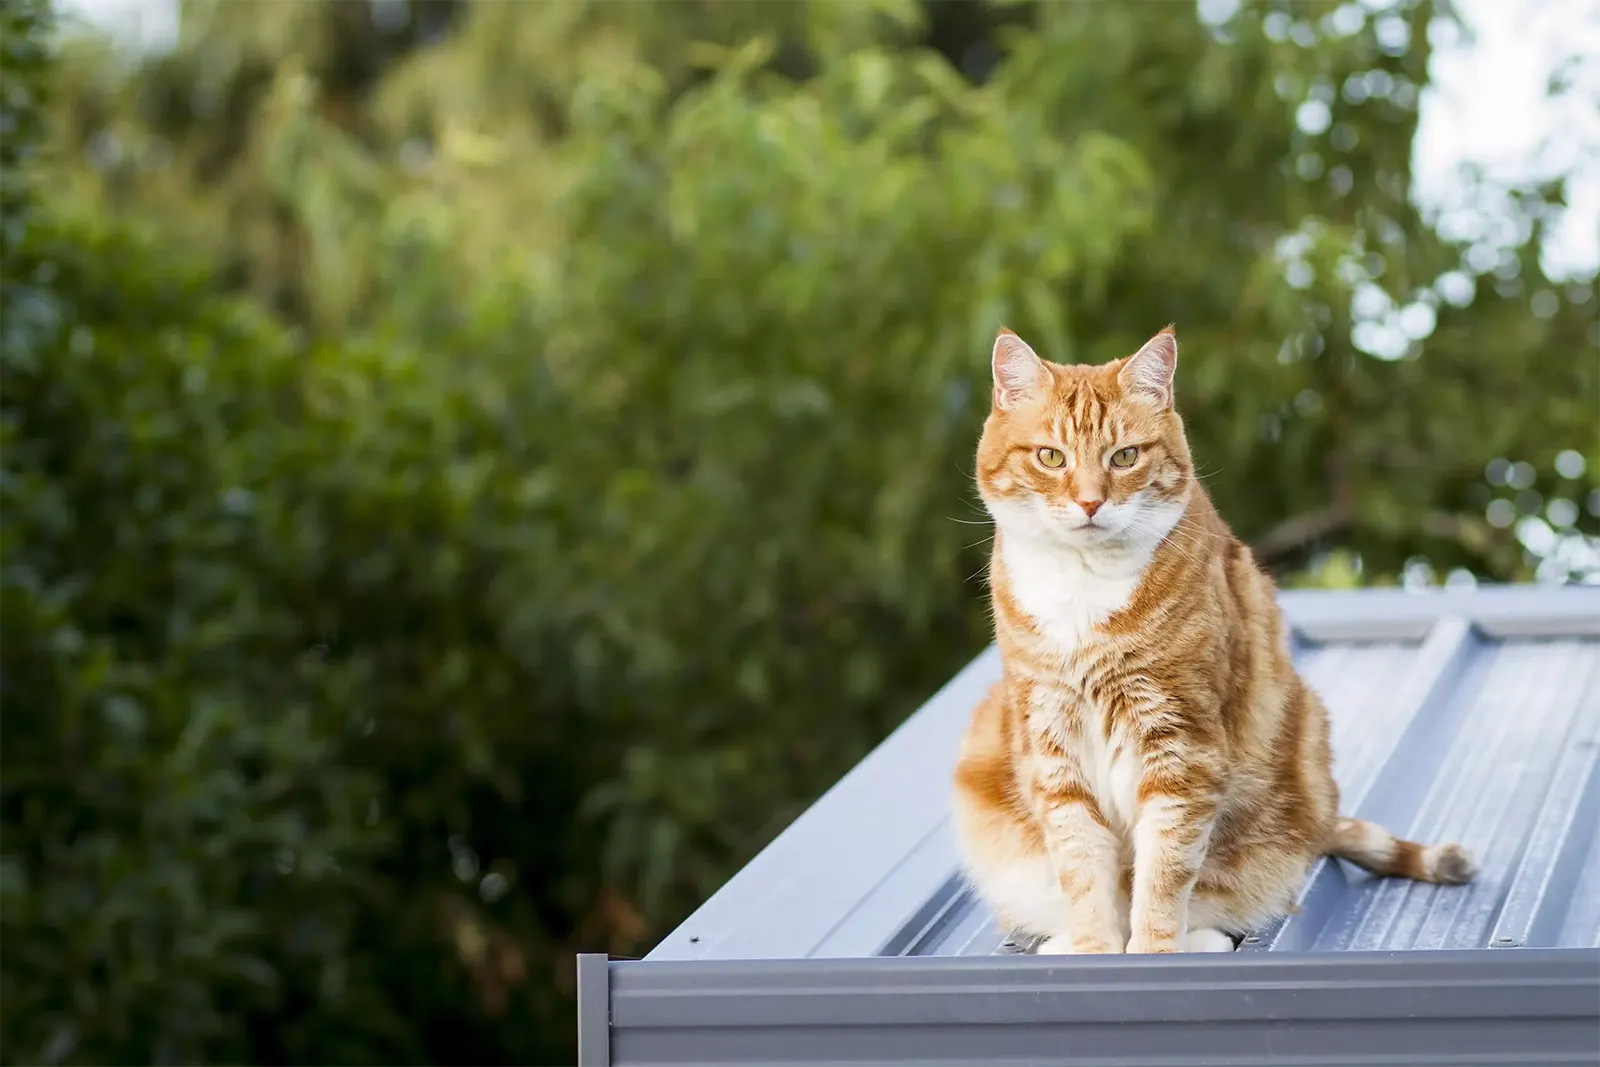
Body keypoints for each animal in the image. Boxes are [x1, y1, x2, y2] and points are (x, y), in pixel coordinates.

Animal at [947, 327, 1472, 959]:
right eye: (1051, 457)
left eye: (1125, 457)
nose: (1091, 502)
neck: (1084, 587)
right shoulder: (1053, 744)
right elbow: (1083, 870)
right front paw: (1094, 951)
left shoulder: (1180, 746)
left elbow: (1164, 872)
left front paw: (1153, 951)